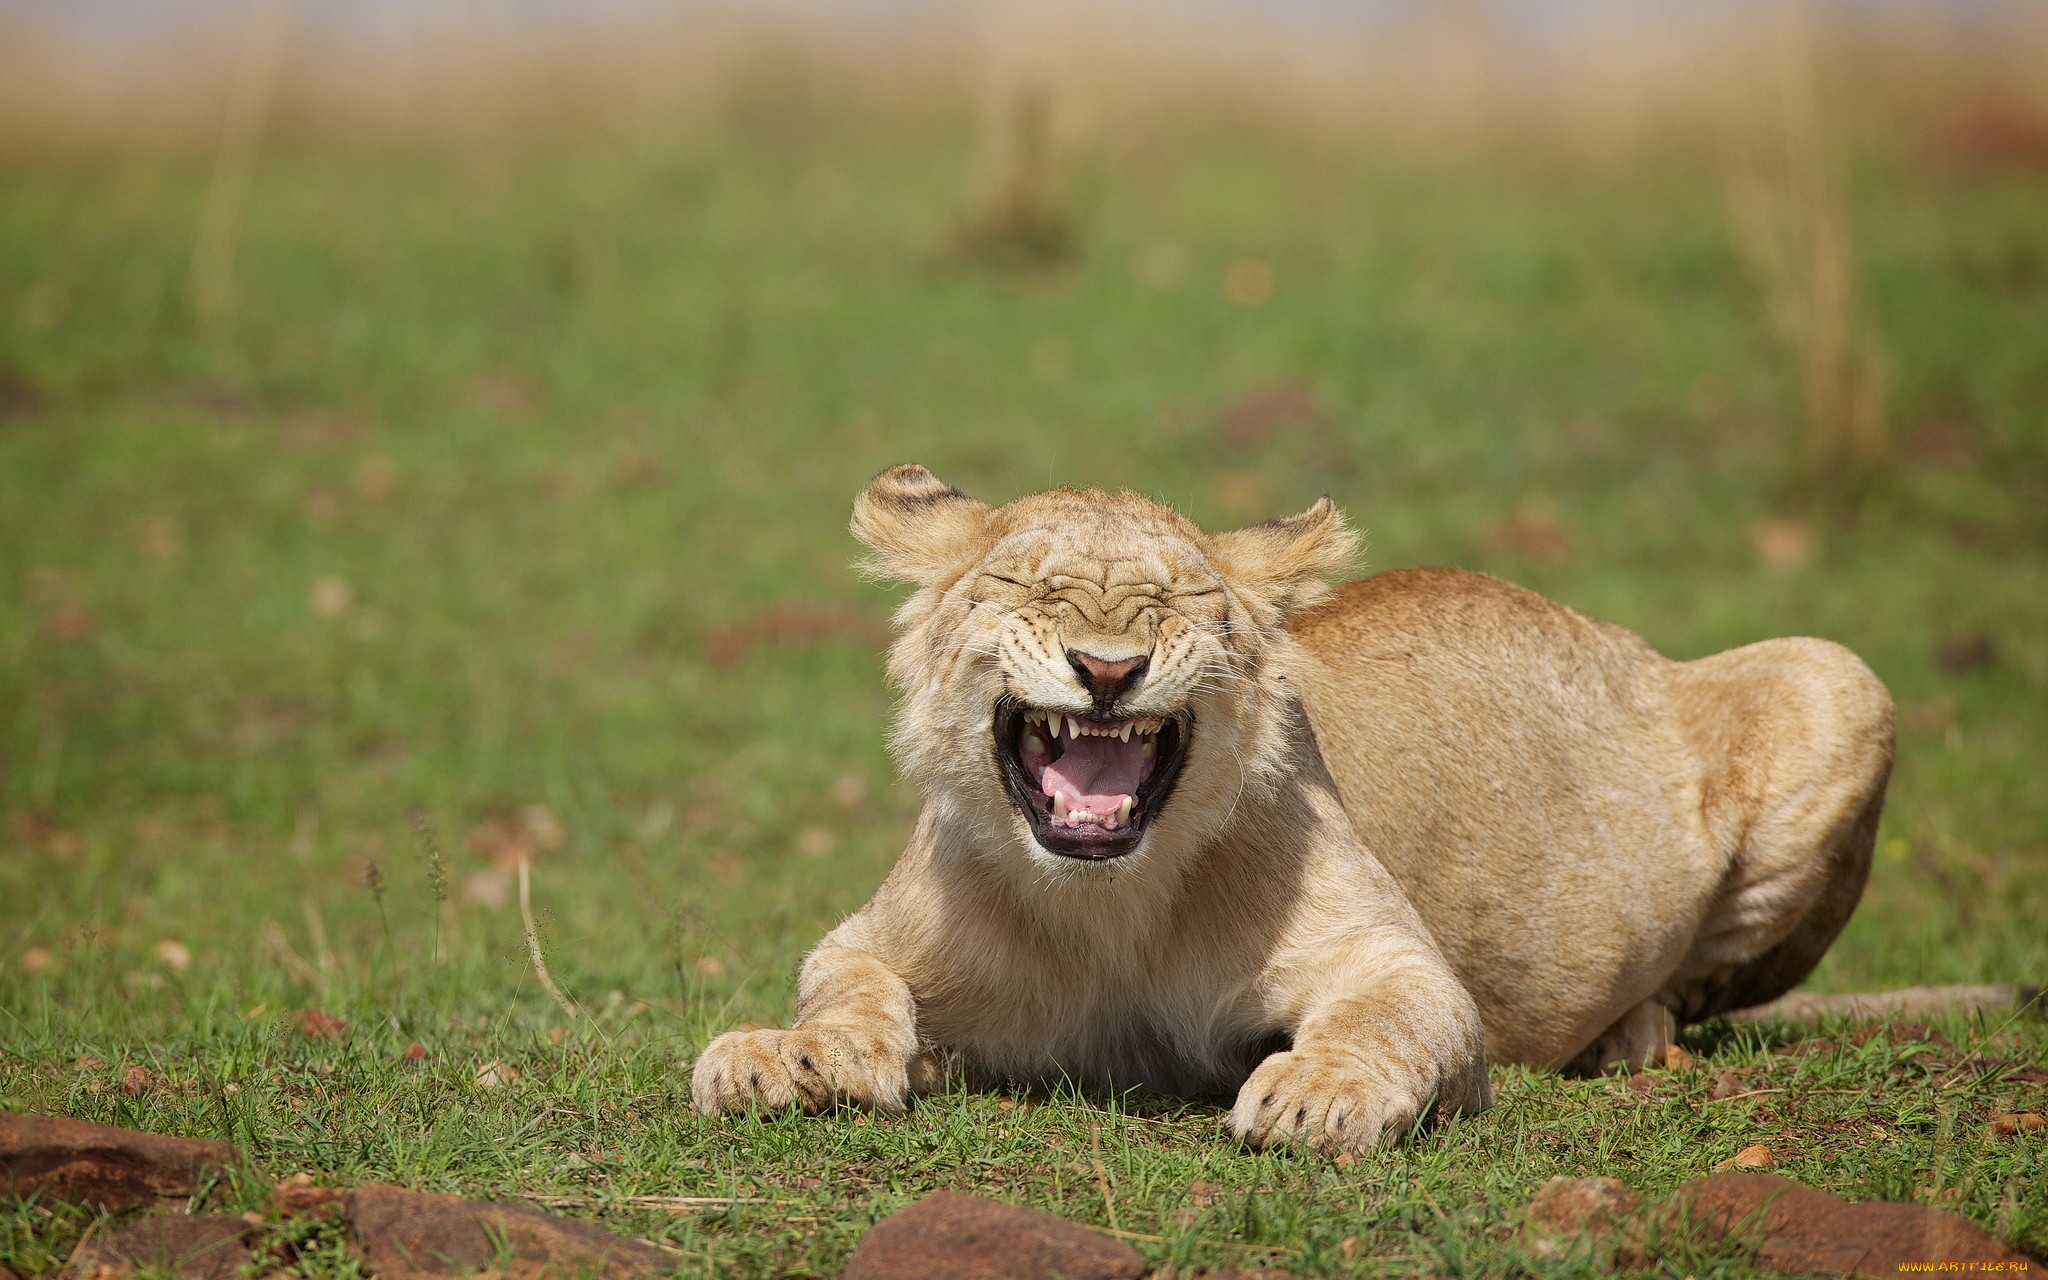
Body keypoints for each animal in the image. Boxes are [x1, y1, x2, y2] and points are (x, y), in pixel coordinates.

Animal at [688, 464, 1884, 1155]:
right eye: (1029, 591)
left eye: (1180, 605)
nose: (1107, 668)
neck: (1108, 907)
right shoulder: (875, 937)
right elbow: (841, 986)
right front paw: (783, 1059)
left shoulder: (1395, 957)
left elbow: (1383, 1018)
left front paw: (1315, 1092)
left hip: (1840, 677)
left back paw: (1627, 1034)